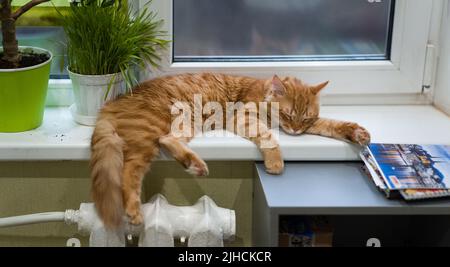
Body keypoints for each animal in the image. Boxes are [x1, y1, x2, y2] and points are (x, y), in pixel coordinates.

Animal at [89, 73, 370, 228]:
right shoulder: (245, 117)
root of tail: (110, 104)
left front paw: (356, 132)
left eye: (306, 118)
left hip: (183, 125)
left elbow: (330, 125)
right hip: (152, 134)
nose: (295, 131)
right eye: (289, 115)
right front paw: (275, 162)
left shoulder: (313, 124)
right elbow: (268, 136)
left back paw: (194, 164)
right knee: (130, 171)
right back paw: (134, 211)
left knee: (166, 140)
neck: (263, 92)